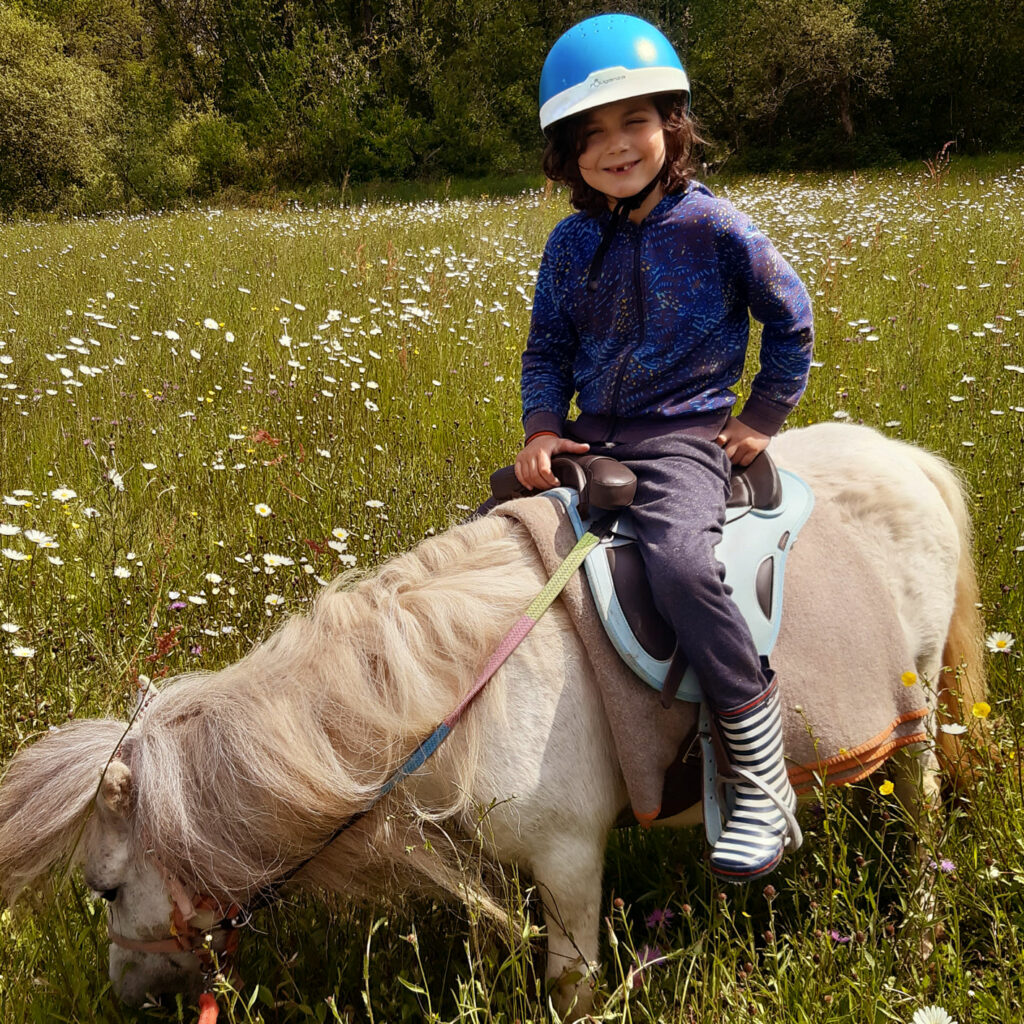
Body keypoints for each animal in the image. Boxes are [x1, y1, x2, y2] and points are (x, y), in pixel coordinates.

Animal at [0, 423, 987, 1015]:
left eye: (105, 889)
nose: (127, 996)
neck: (446, 693)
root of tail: (909, 457)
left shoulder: (570, 859)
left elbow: (570, 985)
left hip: (918, 711)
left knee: (925, 807)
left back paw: (920, 929)